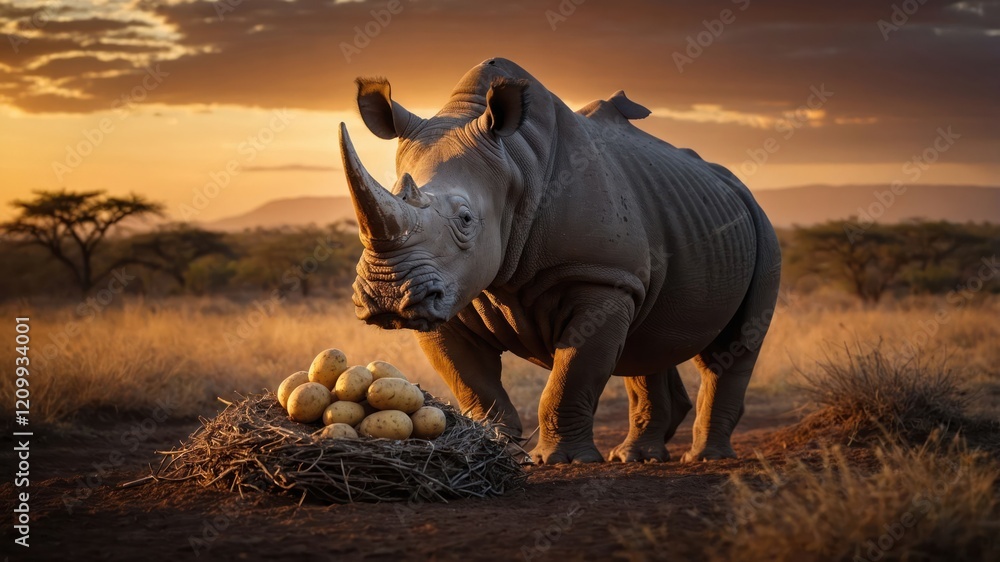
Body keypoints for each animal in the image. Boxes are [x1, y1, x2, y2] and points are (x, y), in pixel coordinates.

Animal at [339, 58, 781, 464]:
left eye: (465, 219)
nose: (386, 294)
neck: (515, 165)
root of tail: (738, 186)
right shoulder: (449, 290)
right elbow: (472, 382)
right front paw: (497, 447)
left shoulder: (601, 277)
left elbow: (571, 375)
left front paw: (560, 461)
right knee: (648, 339)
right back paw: (637, 457)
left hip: (762, 227)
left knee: (732, 348)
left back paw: (705, 457)